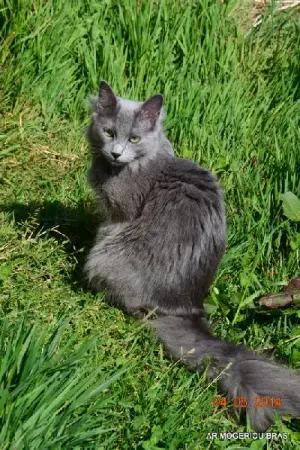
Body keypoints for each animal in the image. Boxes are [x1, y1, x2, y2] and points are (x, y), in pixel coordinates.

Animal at [84, 81, 300, 432]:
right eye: (108, 132)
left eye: (134, 139)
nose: (115, 152)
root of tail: (185, 307)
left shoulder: (118, 215)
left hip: (107, 253)